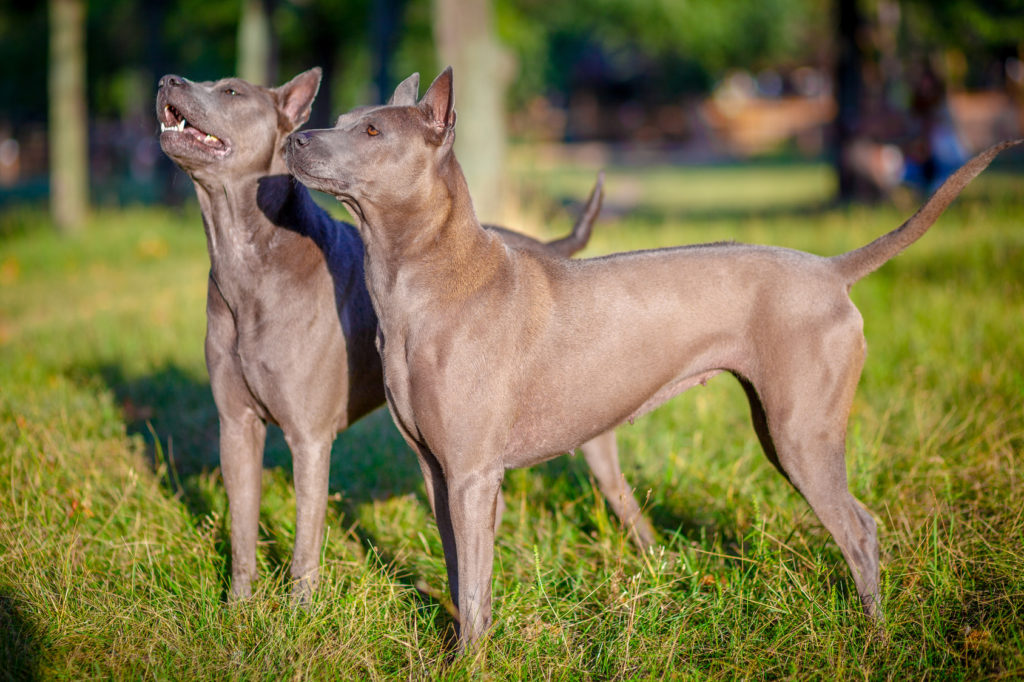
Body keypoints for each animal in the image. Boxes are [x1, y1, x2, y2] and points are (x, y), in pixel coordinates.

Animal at [157, 67, 655, 602]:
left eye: (231, 91)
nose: (167, 79)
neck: (247, 256)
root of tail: (544, 247)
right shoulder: (236, 425)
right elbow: (242, 529)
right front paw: (238, 607)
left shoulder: (309, 438)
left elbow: (305, 540)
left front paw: (297, 613)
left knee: (620, 498)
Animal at [282, 66, 1024, 647]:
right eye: (341, 119)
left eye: (371, 132)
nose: (295, 137)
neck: (428, 280)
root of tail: (831, 270)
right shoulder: (439, 473)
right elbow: (464, 576)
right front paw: (461, 644)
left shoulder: (471, 474)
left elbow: (473, 582)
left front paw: (470, 660)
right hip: (779, 426)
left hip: (800, 435)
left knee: (860, 528)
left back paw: (875, 637)